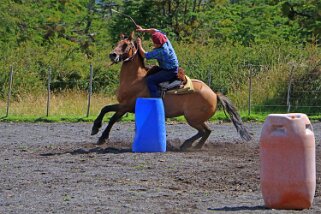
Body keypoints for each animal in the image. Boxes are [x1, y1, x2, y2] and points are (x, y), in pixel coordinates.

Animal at [91, 31, 251, 150]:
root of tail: (213, 94)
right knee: (206, 131)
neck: (135, 79)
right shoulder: (124, 105)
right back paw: (192, 145)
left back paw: (188, 145)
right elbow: (105, 109)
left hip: (192, 118)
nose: (112, 55)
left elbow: (112, 118)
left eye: (125, 44)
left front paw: (102, 138)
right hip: (196, 119)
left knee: (204, 131)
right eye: (117, 43)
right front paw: (95, 127)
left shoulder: (126, 106)